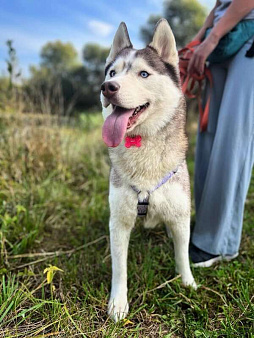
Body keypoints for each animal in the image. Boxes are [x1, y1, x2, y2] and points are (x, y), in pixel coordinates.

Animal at [100, 18, 195, 322]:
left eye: (143, 73)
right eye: (113, 72)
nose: (107, 87)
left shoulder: (180, 215)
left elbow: (182, 254)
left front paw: (188, 284)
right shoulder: (119, 221)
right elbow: (119, 267)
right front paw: (118, 303)